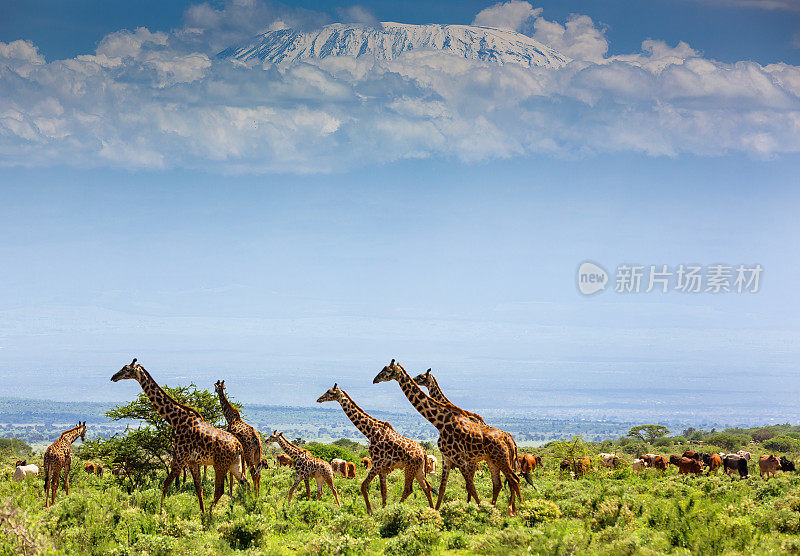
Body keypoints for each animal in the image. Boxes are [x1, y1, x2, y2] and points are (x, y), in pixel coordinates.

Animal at [109, 360, 247, 512]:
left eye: (126, 369)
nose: (114, 376)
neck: (176, 420)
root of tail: (238, 445)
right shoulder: (192, 461)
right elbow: (199, 489)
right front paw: (201, 512)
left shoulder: (180, 458)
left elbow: (165, 484)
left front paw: (160, 511)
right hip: (234, 464)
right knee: (246, 483)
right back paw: (251, 507)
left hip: (220, 465)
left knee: (220, 490)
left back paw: (212, 513)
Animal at [316, 384, 434, 516]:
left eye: (329, 392)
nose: (319, 399)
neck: (370, 432)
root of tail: (423, 452)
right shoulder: (382, 467)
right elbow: (384, 490)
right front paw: (383, 509)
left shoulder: (377, 463)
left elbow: (363, 486)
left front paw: (370, 511)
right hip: (418, 468)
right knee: (427, 487)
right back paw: (433, 510)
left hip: (410, 467)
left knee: (409, 489)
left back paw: (399, 508)